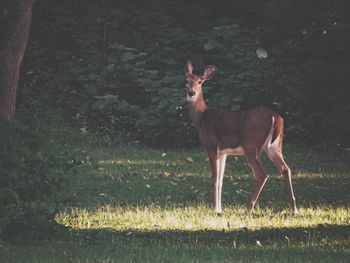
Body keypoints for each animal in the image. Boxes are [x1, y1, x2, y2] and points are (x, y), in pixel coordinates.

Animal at [183, 61, 298, 217]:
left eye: (200, 81)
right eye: (186, 81)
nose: (191, 92)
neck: (202, 118)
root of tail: (276, 118)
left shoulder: (211, 145)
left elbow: (214, 179)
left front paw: (215, 209)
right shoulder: (223, 152)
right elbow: (220, 180)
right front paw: (220, 208)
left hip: (251, 144)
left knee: (262, 174)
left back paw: (248, 207)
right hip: (275, 146)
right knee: (286, 169)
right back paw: (294, 209)